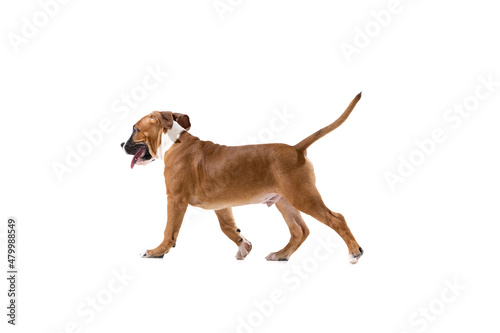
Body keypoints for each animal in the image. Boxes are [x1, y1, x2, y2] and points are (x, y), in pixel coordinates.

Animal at [121, 91, 364, 262]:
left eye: (134, 129)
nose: (121, 144)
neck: (171, 141)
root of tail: (297, 148)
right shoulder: (221, 205)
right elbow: (228, 227)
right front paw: (243, 245)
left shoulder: (175, 199)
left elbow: (170, 230)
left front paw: (157, 251)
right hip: (285, 201)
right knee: (299, 230)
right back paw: (281, 254)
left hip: (303, 197)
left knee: (337, 219)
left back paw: (354, 252)